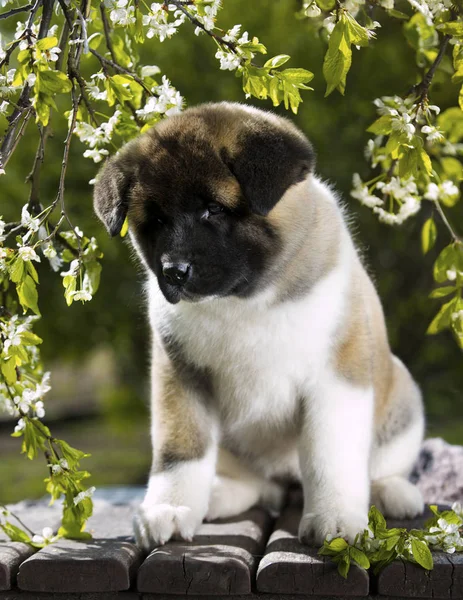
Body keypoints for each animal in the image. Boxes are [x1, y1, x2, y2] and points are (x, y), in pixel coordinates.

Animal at [95, 102, 428, 548]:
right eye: (158, 221)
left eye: (214, 209)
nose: (174, 271)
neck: (244, 299)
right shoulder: (181, 377)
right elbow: (180, 450)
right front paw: (171, 507)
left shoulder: (336, 375)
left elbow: (330, 453)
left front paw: (336, 517)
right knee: (253, 482)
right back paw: (220, 495)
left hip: (403, 399)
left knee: (379, 466)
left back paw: (393, 492)